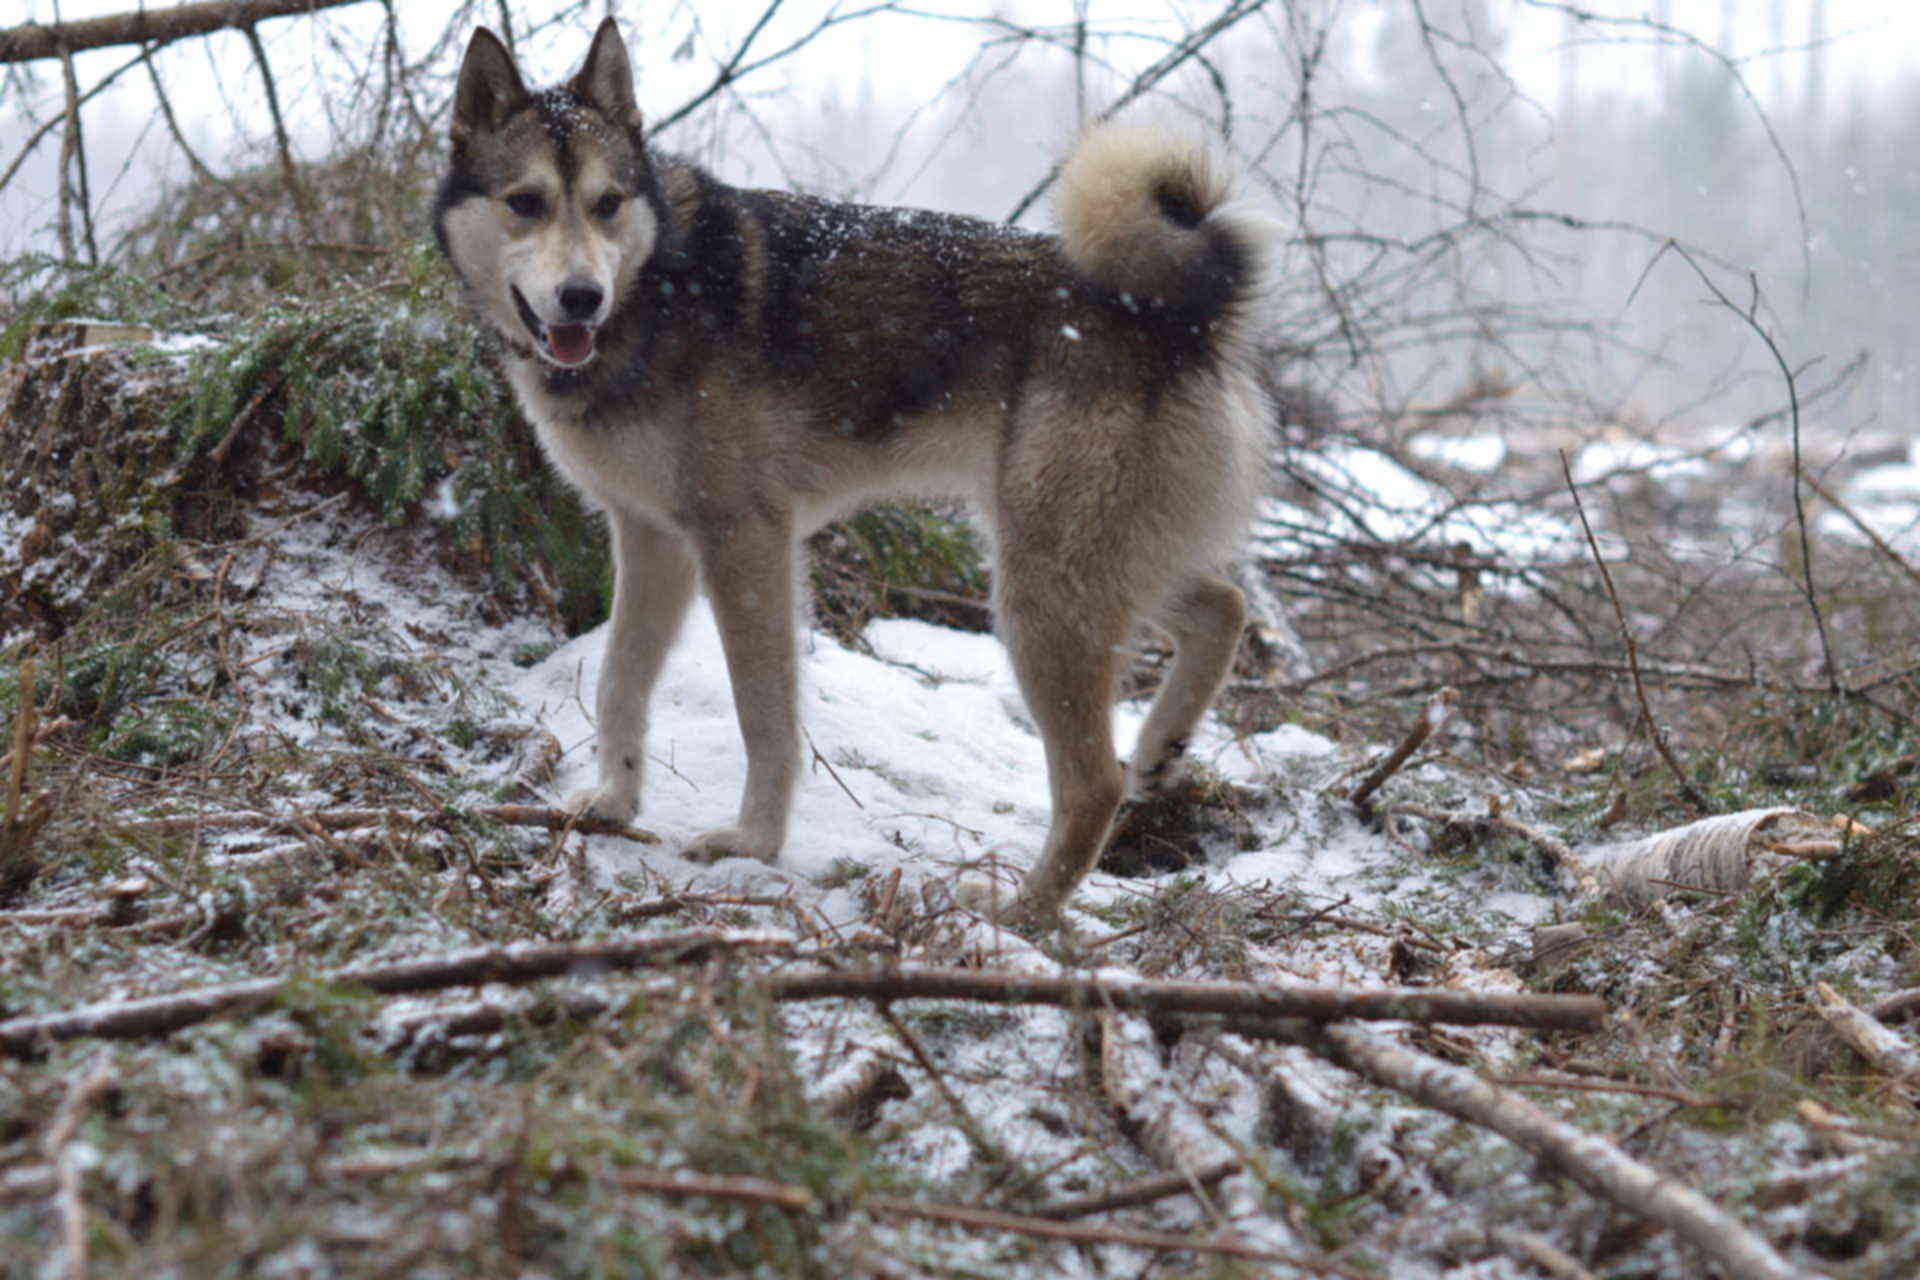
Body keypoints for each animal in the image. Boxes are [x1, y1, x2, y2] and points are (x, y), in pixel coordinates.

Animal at [435, 17, 1274, 921]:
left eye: (607, 204)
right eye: (525, 202)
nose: (582, 297)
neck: (657, 289)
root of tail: (1181, 318)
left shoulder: (744, 545)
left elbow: (764, 715)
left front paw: (753, 846)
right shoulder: (653, 541)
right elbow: (620, 681)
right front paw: (615, 805)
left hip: (1043, 591)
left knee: (1093, 782)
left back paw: (1019, 911)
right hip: (1094, 562)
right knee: (1222, 609)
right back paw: (1163, 747)